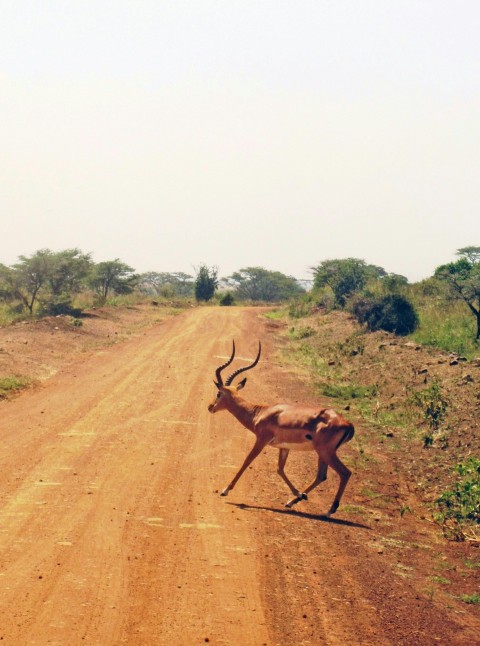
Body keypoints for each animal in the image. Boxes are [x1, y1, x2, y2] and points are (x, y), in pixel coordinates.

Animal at [208, 341, 355, 516]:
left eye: (218, 394)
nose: (210, 407)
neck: (260, 413)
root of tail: (348, 424)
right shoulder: (284, 447)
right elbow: (280, 469)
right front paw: (298, 494)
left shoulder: (261, 440)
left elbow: (247, 460)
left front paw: (225, 490)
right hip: (323, 453)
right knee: (322, 476)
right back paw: (293, 501)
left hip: (326, 452)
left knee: (345, 473)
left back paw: (330, 510)